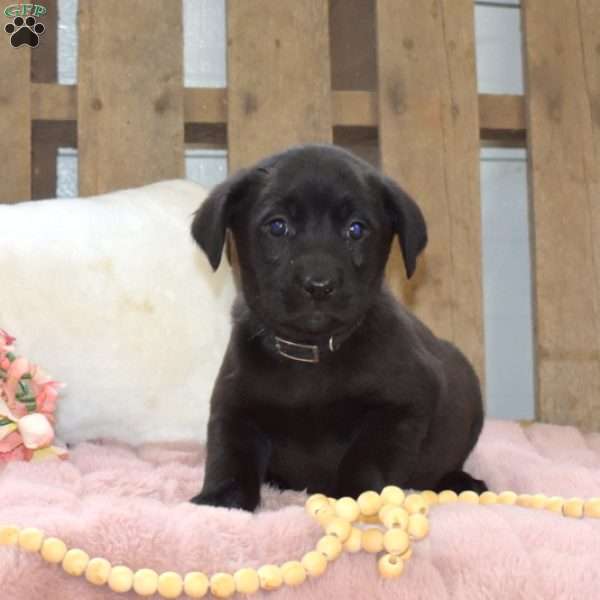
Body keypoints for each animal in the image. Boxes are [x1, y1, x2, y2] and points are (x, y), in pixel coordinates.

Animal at [190, 142, 486, 510]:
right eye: (277, 227)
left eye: (356, 229)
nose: (319, 285)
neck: (310, 356)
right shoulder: (234, 408)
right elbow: (228, 457)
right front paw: (220, 500)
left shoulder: (402, 408)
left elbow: (364, 457)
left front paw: (357, 497)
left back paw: (462, 481)